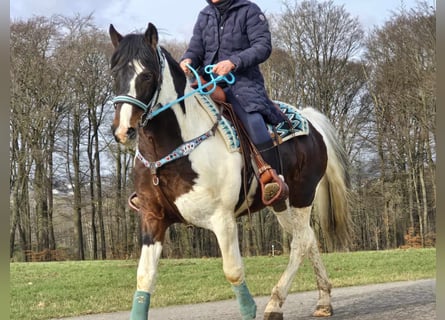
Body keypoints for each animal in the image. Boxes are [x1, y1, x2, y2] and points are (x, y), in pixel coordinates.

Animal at [106, 21, 350, 318]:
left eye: (147, 75)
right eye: (114, 71)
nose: (123, 130)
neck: (169, 153)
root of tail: (310, 122)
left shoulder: (222, 220)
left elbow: (233, 272)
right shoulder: (152, 219)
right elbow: (144, 277)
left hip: (302, 196)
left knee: (301, 243)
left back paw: (275, 302)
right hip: (281, 203)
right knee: (309, 239)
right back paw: (323, 300)